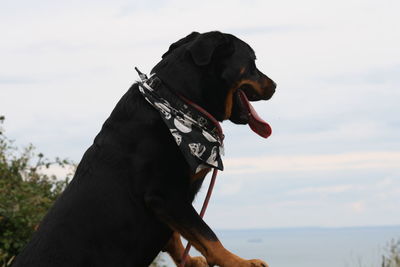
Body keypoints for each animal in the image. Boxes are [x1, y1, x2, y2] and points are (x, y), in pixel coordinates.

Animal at [12, 31, 276, 267]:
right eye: (252, 63)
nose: (274, 85)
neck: (178, 102)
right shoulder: (165, 194)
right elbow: (207, 235)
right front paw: (239, 262)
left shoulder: (169, 203)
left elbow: (177, 234)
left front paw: (190, 261)